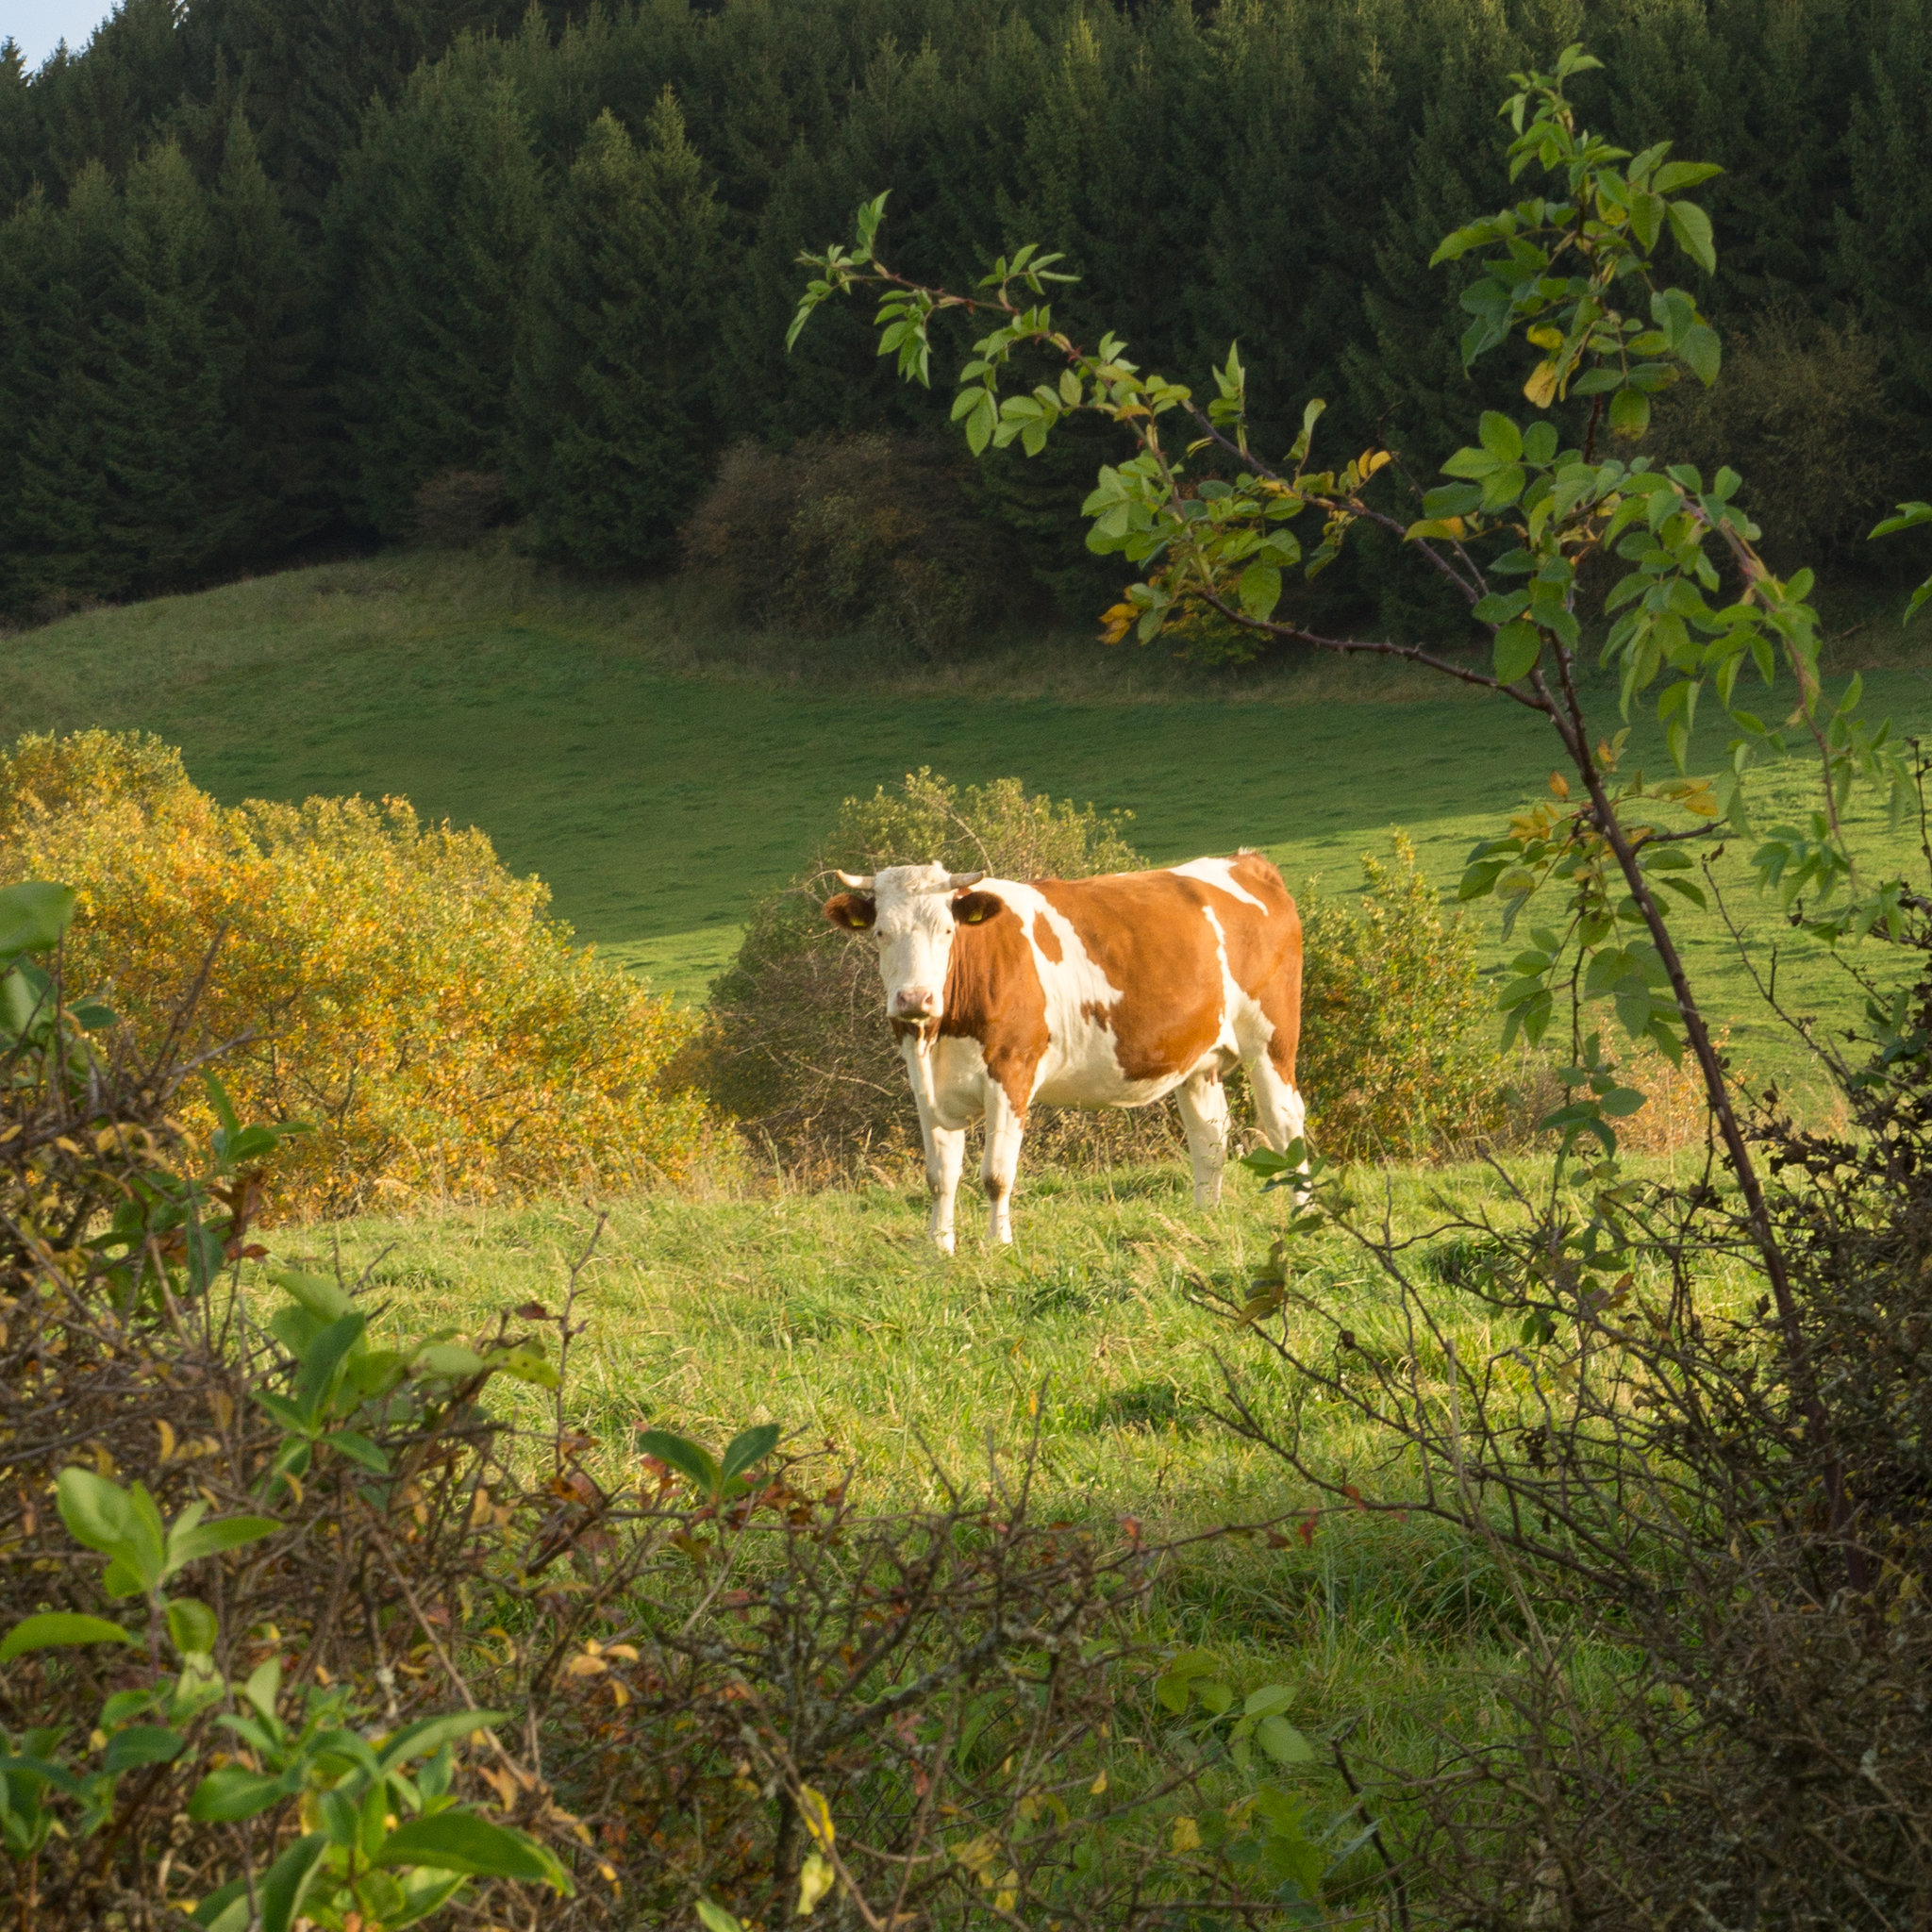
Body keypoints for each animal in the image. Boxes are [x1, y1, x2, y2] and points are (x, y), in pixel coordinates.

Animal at [823, 850, 1306, 1243]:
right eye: (881, 932)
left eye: (946, 930)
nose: (914, 999)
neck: (938, 1037)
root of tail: (1246, 862)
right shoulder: (925, 1085)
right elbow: (940, 1177)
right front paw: (939, 1248)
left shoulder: (1011, 1071)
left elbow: (996, 1174)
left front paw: (998, 1244)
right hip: (1198, 1058)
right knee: (1210, 1137)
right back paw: (1205, 1217)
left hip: (1270, 1041)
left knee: (1285, 1123)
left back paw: (1302, 1214)